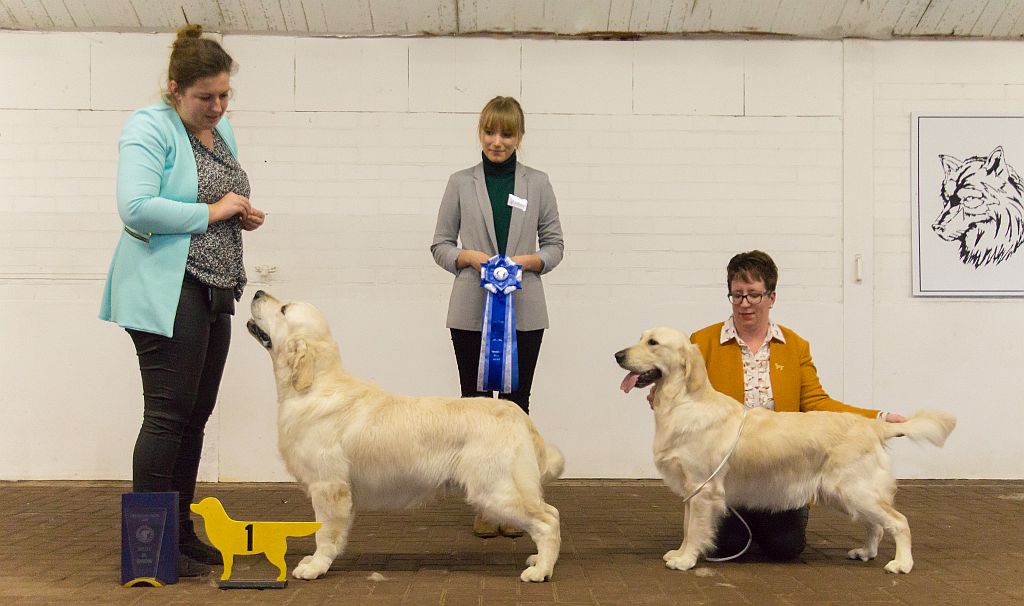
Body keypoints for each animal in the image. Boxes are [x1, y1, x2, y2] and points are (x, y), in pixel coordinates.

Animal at [248, 290, 569, 581]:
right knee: (550, 514)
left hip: (495, 489)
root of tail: (518, 415)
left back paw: (541, 571)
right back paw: (540, 560)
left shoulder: (329, 486)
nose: (257, 292)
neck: (313, 385)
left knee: (547, 521)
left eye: (284, 309)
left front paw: (315, 567)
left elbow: (325, 534)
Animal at [614, 327, 958, 573]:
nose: (617, 354)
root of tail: (872, 426)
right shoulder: (692, 489)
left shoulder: (702, 488)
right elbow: (688, 527)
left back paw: (902, 564)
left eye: (653, 342)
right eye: (641, 337)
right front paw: (681, 552)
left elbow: (695, 528)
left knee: (898, 522)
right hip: (845, 494)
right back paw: (866, 552)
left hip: (855, 489)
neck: (683, 402)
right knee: (875, 524)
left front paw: (685, 560)